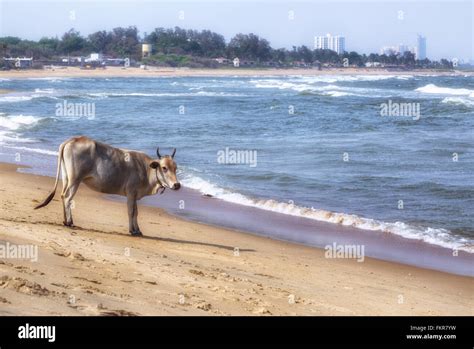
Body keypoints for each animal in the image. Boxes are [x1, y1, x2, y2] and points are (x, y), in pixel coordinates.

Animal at [34, 135, 181, 235]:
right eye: (164, 168)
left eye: (175, 168)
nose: (177, 185)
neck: (146, 169)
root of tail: (72, 139)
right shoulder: (131, 192)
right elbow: (131, 211)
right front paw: (132, 230)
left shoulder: (134, 195)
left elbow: (136, 212)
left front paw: (138, 230)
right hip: (75, 179)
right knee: (67, 197)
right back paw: (69, 222)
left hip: (66, 178)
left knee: (62, 195)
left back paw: (65, 221)